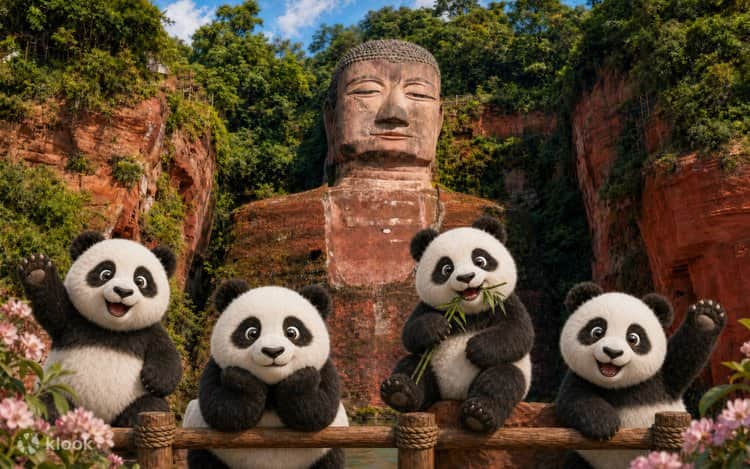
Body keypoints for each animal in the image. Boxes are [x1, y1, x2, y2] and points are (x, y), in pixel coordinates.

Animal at [17, 231, 183, 426]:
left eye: (141, 281)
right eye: (106, 273)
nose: (123, 291)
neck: (111, 328)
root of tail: (99, 419)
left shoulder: (147, 331)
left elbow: (168, 357)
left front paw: (153, 380)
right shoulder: (74, 319)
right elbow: (52, 307)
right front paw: (36, 271)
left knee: (151, 405)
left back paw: (133, 419)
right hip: (57, 388)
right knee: (47, 400)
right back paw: (54, 415)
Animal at [183, 281, 348, 469]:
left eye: (292, 332)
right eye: (251, 332)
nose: (273, 351)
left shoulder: (326, 369)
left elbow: (319, 410)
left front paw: (303, 378)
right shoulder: (214, 367)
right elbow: (221, 410)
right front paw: (239, 378)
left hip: (324, 450)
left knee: (329, 460)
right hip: (208, 447)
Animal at [380, 216, 534, 433]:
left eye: (480, 260)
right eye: (446, 268)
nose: (466, 277)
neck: (468, 312)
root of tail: (455, 395)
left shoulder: (505, 303)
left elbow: (519, 333)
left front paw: (476, 348)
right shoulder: (427, 306)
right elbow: (410, 334)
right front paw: (437, 328)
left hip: (510, 372)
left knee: (502, 381)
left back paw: (479, 413)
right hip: (431, 369)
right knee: (413, 367)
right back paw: (399, 391)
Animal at [555, 282, 726, 469]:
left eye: (633, 338)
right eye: (597, 332)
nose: (612, 352)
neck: (618, 385)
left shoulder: (662, 378)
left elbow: (685, 355)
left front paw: (706, 316)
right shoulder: (577, 379)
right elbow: (575, 401)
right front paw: (603, 424)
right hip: (586, 460)